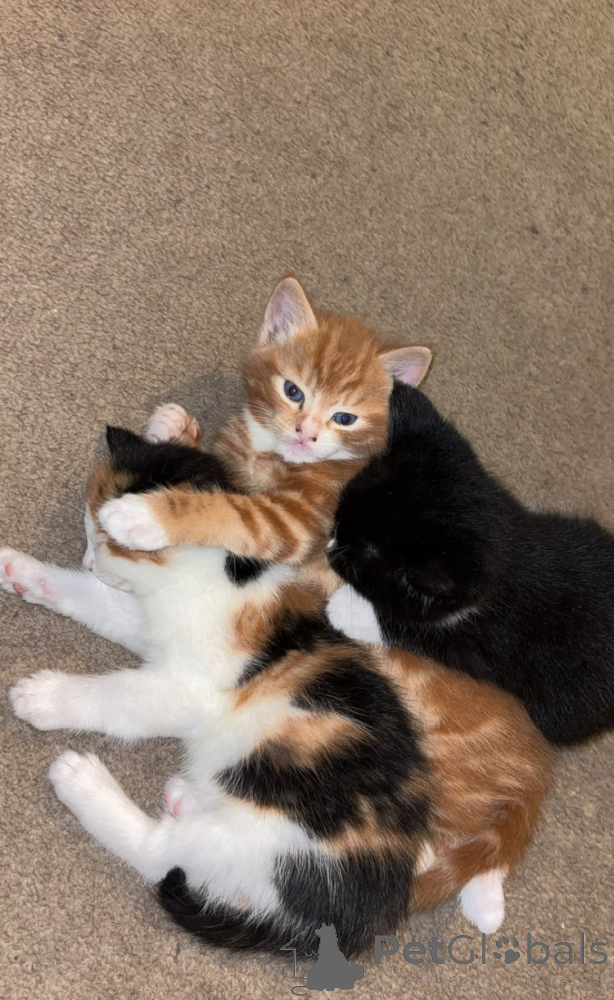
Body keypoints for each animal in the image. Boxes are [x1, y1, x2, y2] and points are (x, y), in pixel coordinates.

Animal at [3, 411, 552, 954]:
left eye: (106, 538)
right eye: (87, 535)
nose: (88, 560)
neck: (217, 572)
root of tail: (354, 919)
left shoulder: (187, 684)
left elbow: (119, 695)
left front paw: (45, 697)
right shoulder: (146, 623)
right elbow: (99, 604)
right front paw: (26, 572)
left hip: (269, 840)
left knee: (160, 854)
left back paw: (84, 783)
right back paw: (182, 796)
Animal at [95, 277, 432, 576]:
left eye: (345, 419)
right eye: (293, 391)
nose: (306, 433)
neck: (264, 450)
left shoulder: (304, 522)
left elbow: (234, 513)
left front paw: (144, 516)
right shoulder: (230, 462)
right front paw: (173, 425)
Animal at [327, 381, 614, 746]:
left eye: (352, 564)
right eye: (338, 520)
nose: (329, 545)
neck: (512, 545)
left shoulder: (483, 643)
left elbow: (420, 631)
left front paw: (344, 608)